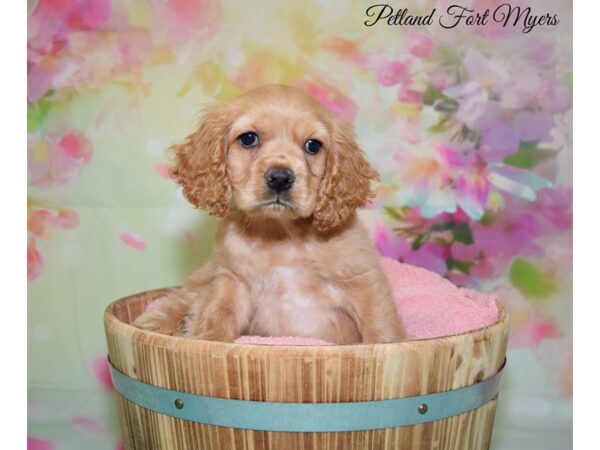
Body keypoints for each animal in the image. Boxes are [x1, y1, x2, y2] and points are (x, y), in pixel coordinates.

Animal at [134, 85, 406, 344]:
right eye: (248, 139)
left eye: (313, 145)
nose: (280, 178)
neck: (279, 234)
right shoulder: (231, 280)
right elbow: (217, 317)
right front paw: (204, 342)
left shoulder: (364, 281)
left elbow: (381, 328)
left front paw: (385, 345)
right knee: (185, 294)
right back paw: (159, 320)